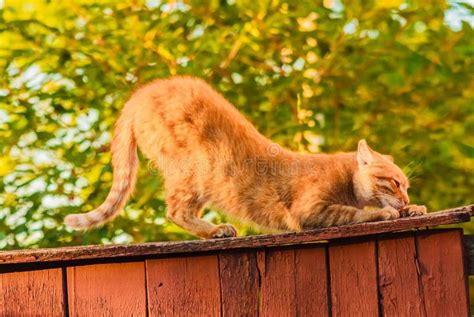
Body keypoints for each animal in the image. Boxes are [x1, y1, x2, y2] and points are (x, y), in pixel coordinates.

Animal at [65, 76, 428, 237]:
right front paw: (386, 212)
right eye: (395, 182)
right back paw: (214, 230)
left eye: (407, 186)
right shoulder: (310, 210)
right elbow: (356, 213)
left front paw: (415, 209)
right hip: (193, 173)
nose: (406, 197)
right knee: (176, 211)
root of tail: (143, 91)